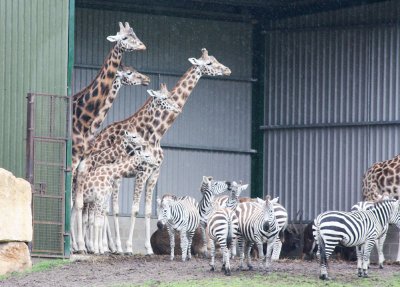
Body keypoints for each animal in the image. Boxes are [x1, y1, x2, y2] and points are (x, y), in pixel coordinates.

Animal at [87, 48, 231, 255]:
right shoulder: (142, 171)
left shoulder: (155, 172)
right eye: (209, 63)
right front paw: (129, 247)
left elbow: (148, 211)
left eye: (215, 59)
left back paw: (107, 246)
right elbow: (134, 209)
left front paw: (147, 249)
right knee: (104, 207)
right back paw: (107, 246)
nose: (227, 70)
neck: (157, 133)